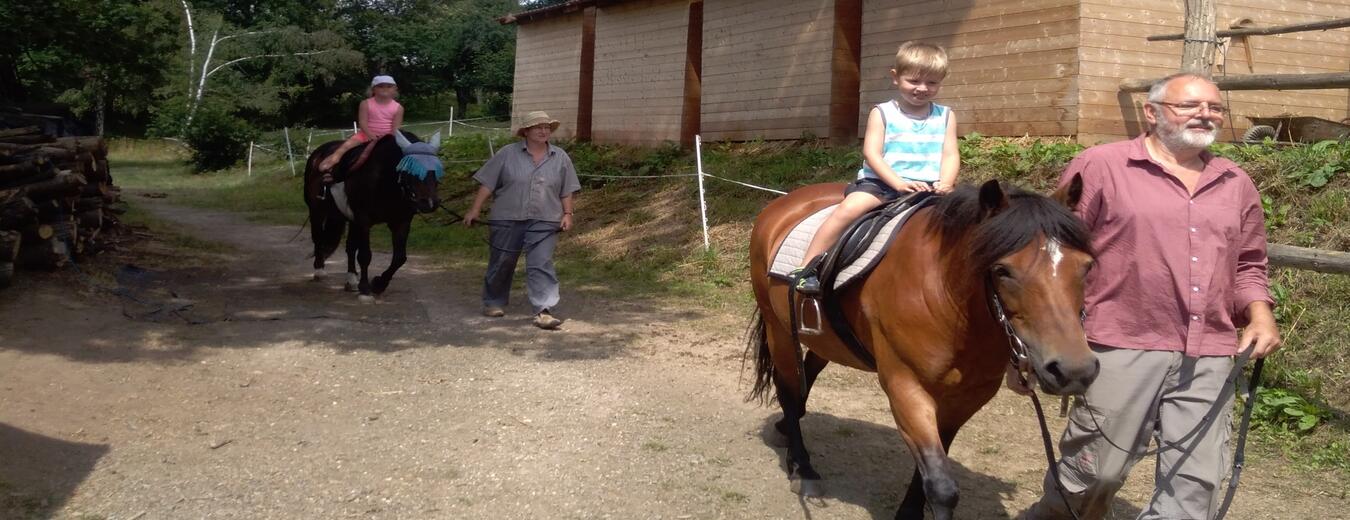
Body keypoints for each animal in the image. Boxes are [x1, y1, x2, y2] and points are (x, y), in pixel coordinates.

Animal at [745, 175, 1101, 515]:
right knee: (789, 388)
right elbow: (941, 486)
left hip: (826, 338)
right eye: (1002, 270)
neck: (948, 300)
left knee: (806, 377)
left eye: (1086, 266)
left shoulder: (967, 399)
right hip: (779, 329)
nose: (1074, 370)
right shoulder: (906, 387)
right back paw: (803, 468)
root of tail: (785, 203)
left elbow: (932, 466)